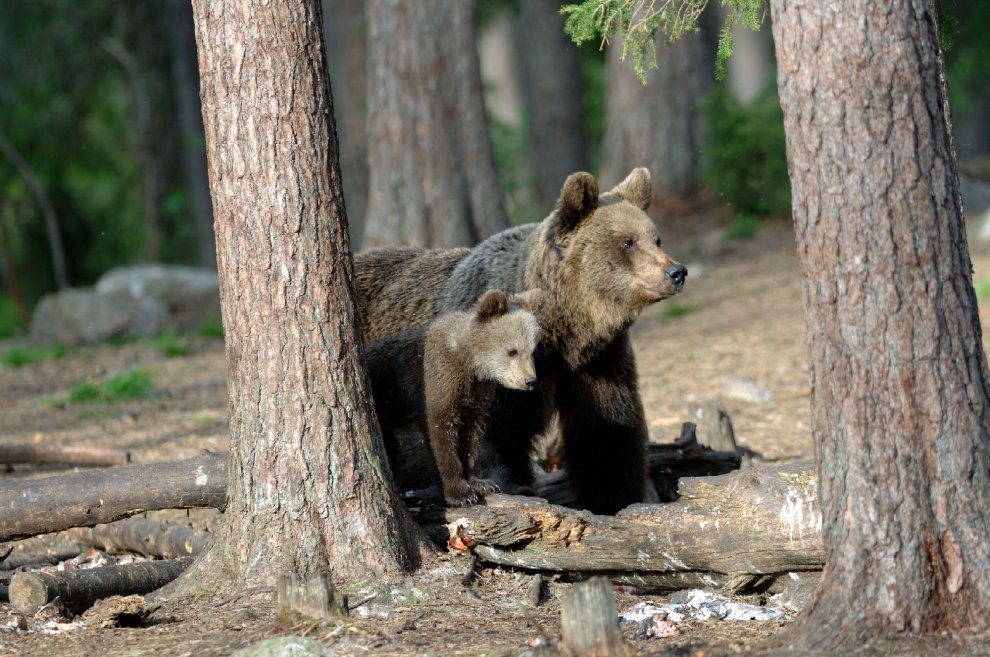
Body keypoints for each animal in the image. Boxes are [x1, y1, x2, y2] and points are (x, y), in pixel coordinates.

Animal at [364, 288, 542, 506]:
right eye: (512, 351)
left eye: (533, 351)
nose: (530, 380)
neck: (468, 362)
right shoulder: (437, 378)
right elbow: (441, 430)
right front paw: (460, 493)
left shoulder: (476, 394)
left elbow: (470, 434)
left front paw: (481, 482)